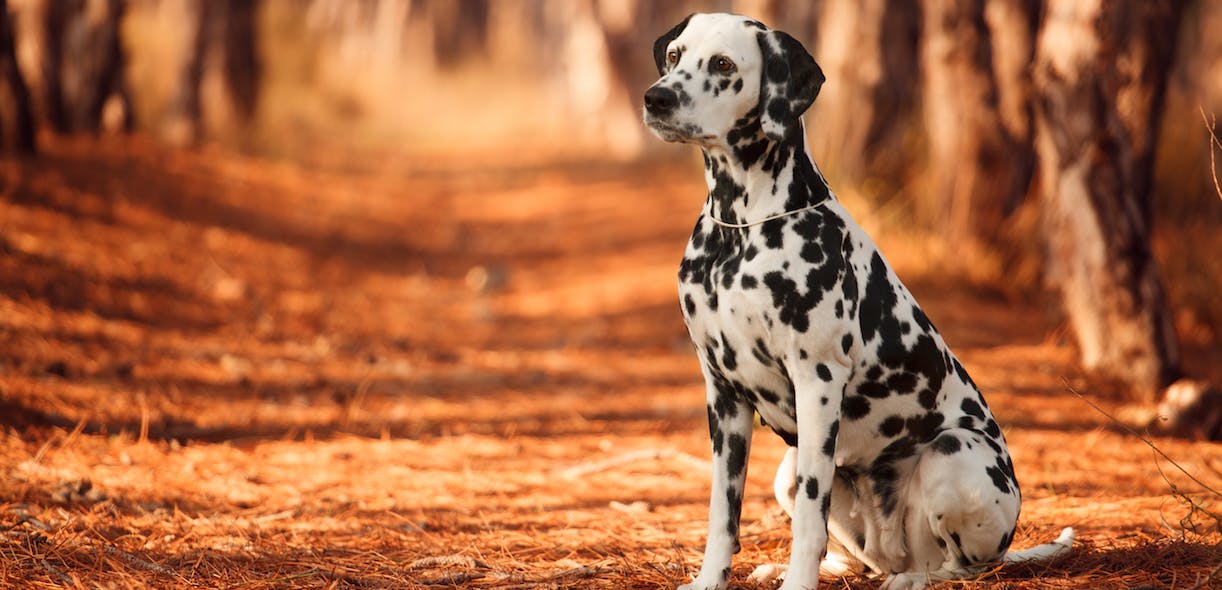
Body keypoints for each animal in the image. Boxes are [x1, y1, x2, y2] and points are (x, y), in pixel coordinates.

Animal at [645, 12, 1075, 590]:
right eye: (675, 55)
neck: (739, 233)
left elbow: (810, 516)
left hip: (953, 454)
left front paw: (797, 584)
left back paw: (913, 578)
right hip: (789, 471)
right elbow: (722, 511)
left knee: (962, 566)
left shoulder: (817, 380)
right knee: (859, 556)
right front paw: (712, 578)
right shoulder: (723, 393)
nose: (656, 98)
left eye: (723, 64)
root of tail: (896, 549)